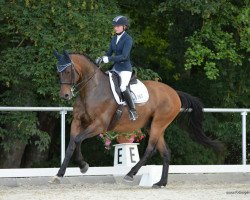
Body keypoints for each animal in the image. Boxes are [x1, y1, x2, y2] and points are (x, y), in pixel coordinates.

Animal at [50, 50, 223, 188]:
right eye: (58, 72)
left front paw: (82, 165)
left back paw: (130, 174)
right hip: (153, 126)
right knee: (165, 152)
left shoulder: (99, 125)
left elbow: (78, 140)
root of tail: (174, 92)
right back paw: (160, 183)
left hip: (158, 124)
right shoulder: (78, 122)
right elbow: (72, 144)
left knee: (150, 149)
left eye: (68, 71)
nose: (65, 95)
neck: (92, 89)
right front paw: (60, 175)